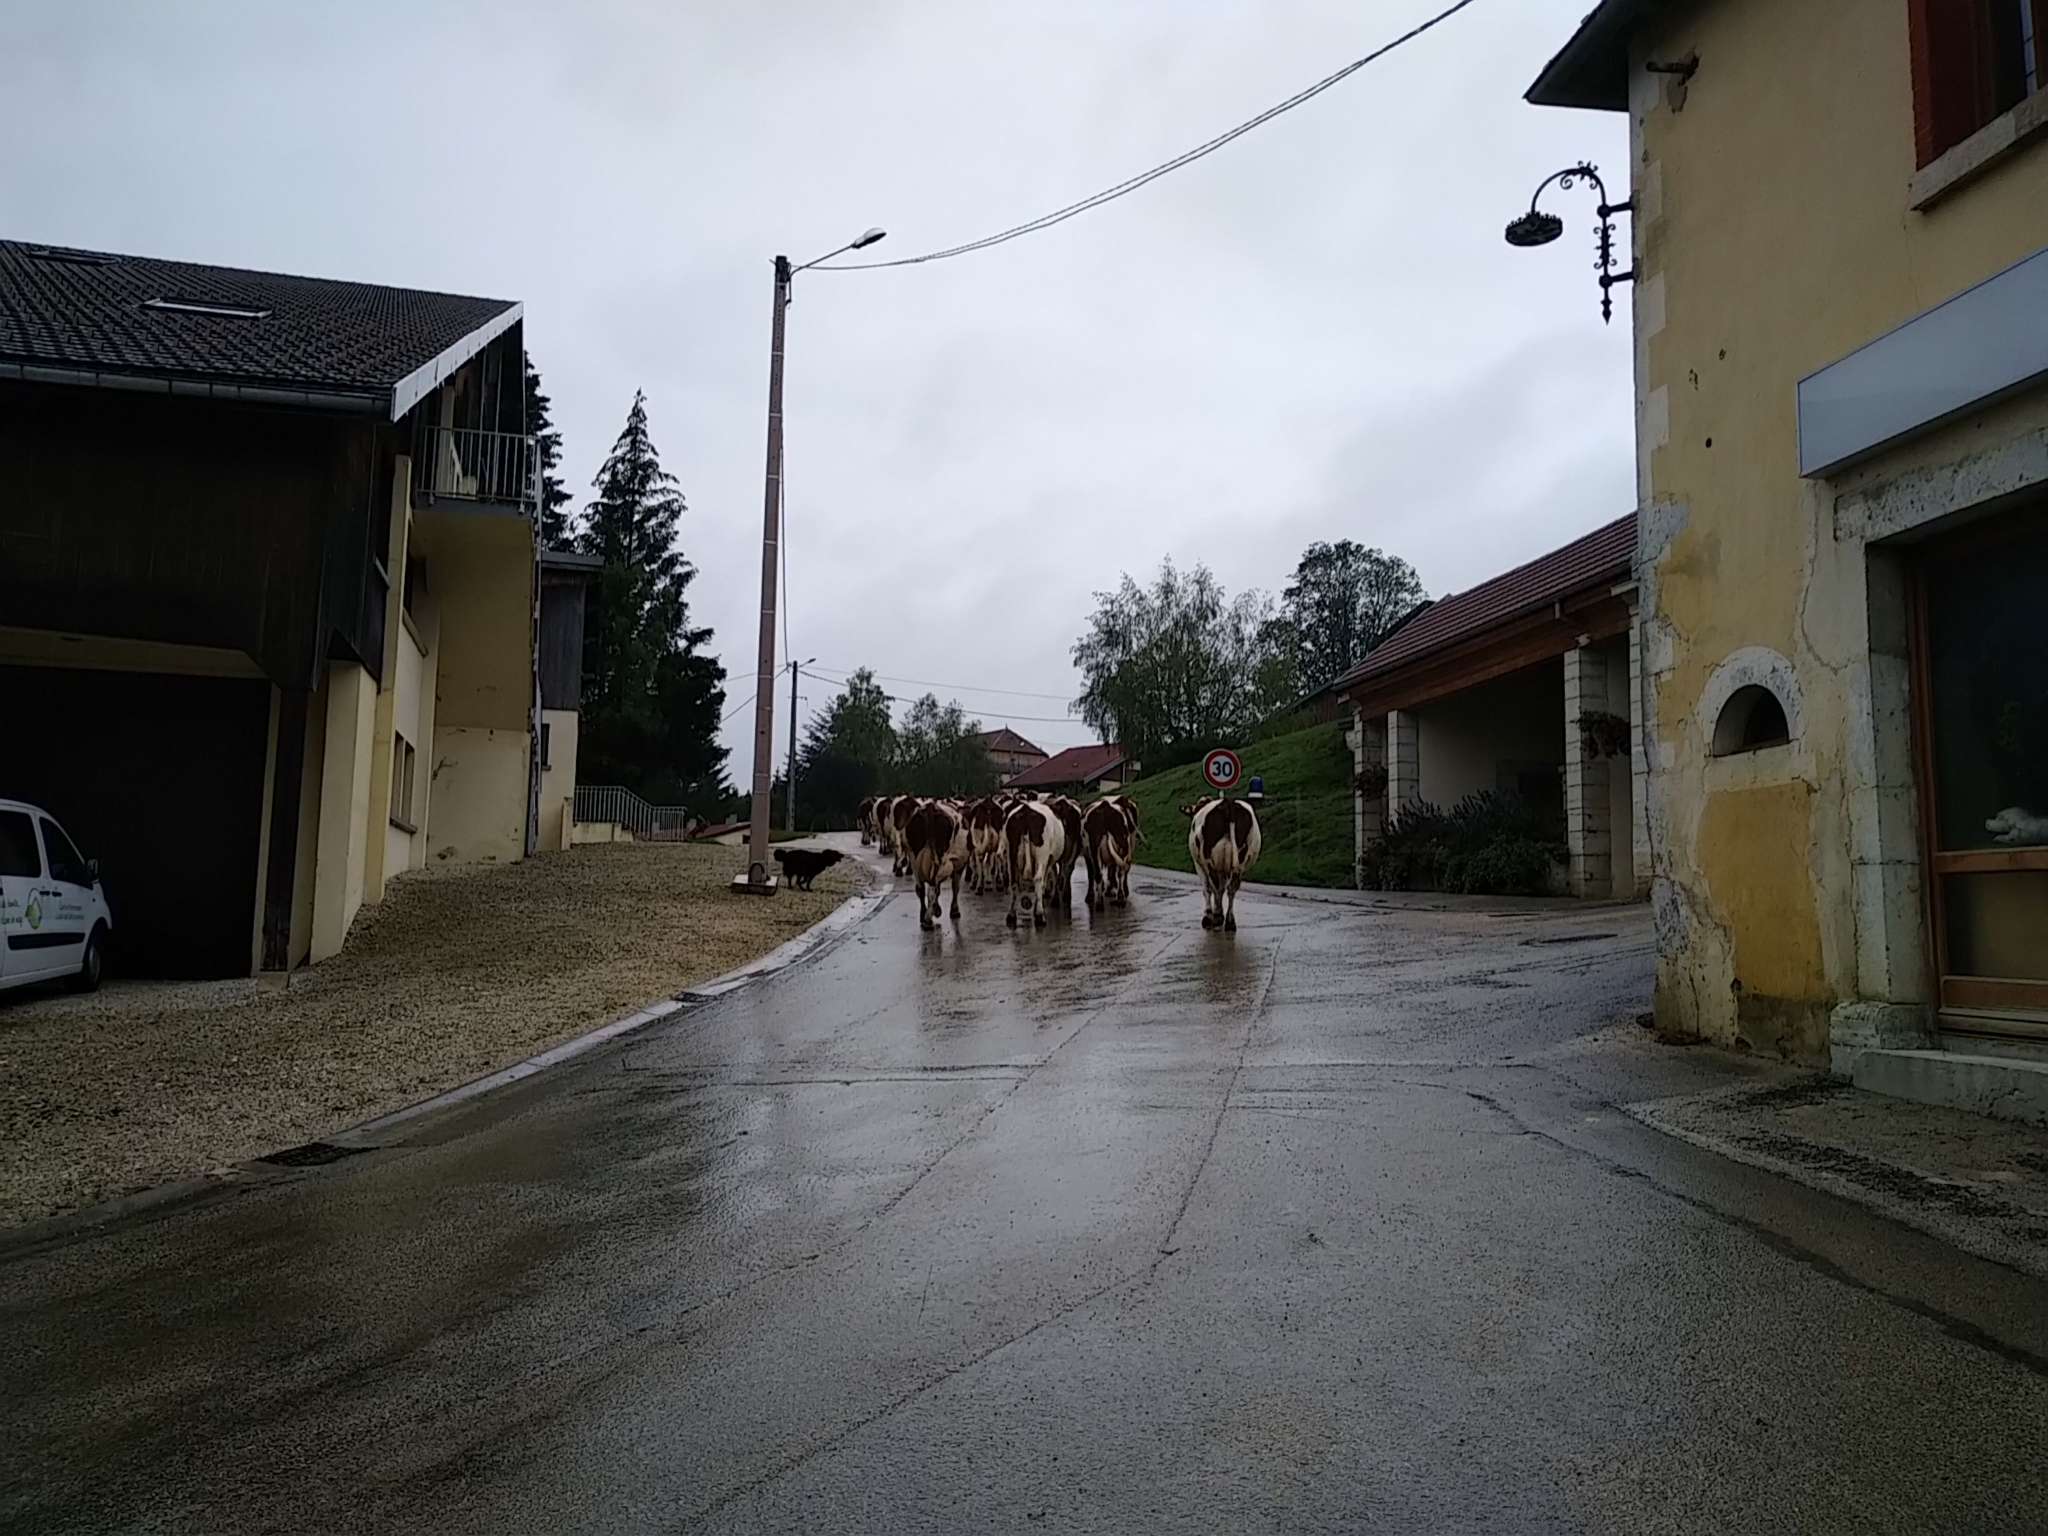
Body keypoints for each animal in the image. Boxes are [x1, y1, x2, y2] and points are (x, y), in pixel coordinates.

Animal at [905, 799, 971, 929]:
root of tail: (931, 807)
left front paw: (937, 909)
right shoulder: (959, 864)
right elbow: (955, 886)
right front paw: (954, 911)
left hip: (914, 859)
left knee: (921, 889)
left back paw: (923, 916)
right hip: (940, 860)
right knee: (932, 890)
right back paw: (928, 920)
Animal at [1003, 800, 1066, 929]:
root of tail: (1026, 810)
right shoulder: (1049, 859)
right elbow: (1043, 883)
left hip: (1011, 853)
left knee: (1013, 881)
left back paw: (1011, 915)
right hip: (1042, 853)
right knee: (1038, 879)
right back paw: (1040, 916)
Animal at [1183, 798, 1262, 933]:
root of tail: (1228, 803)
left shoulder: (1199, 865)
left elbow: (1207, 889)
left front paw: (1208, 916)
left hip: (1210, 862)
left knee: (1217, 888)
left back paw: (1218, 917)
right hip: (1239, 862)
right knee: (1231, 888)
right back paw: (1229, 921)